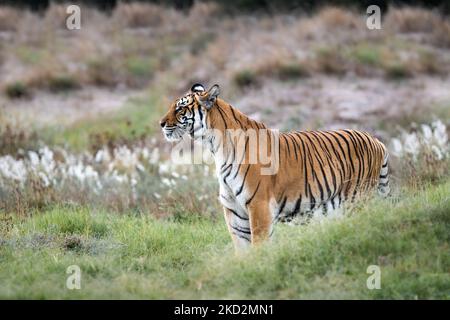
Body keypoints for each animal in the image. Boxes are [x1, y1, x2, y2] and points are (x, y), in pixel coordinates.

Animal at [160, 84, 388, 251]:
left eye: (180, 108)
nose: (161, 123)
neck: (217, 147)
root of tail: (376, 140)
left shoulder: (258, 205)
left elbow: (259, 247)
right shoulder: (234, 211)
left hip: (358, 200)